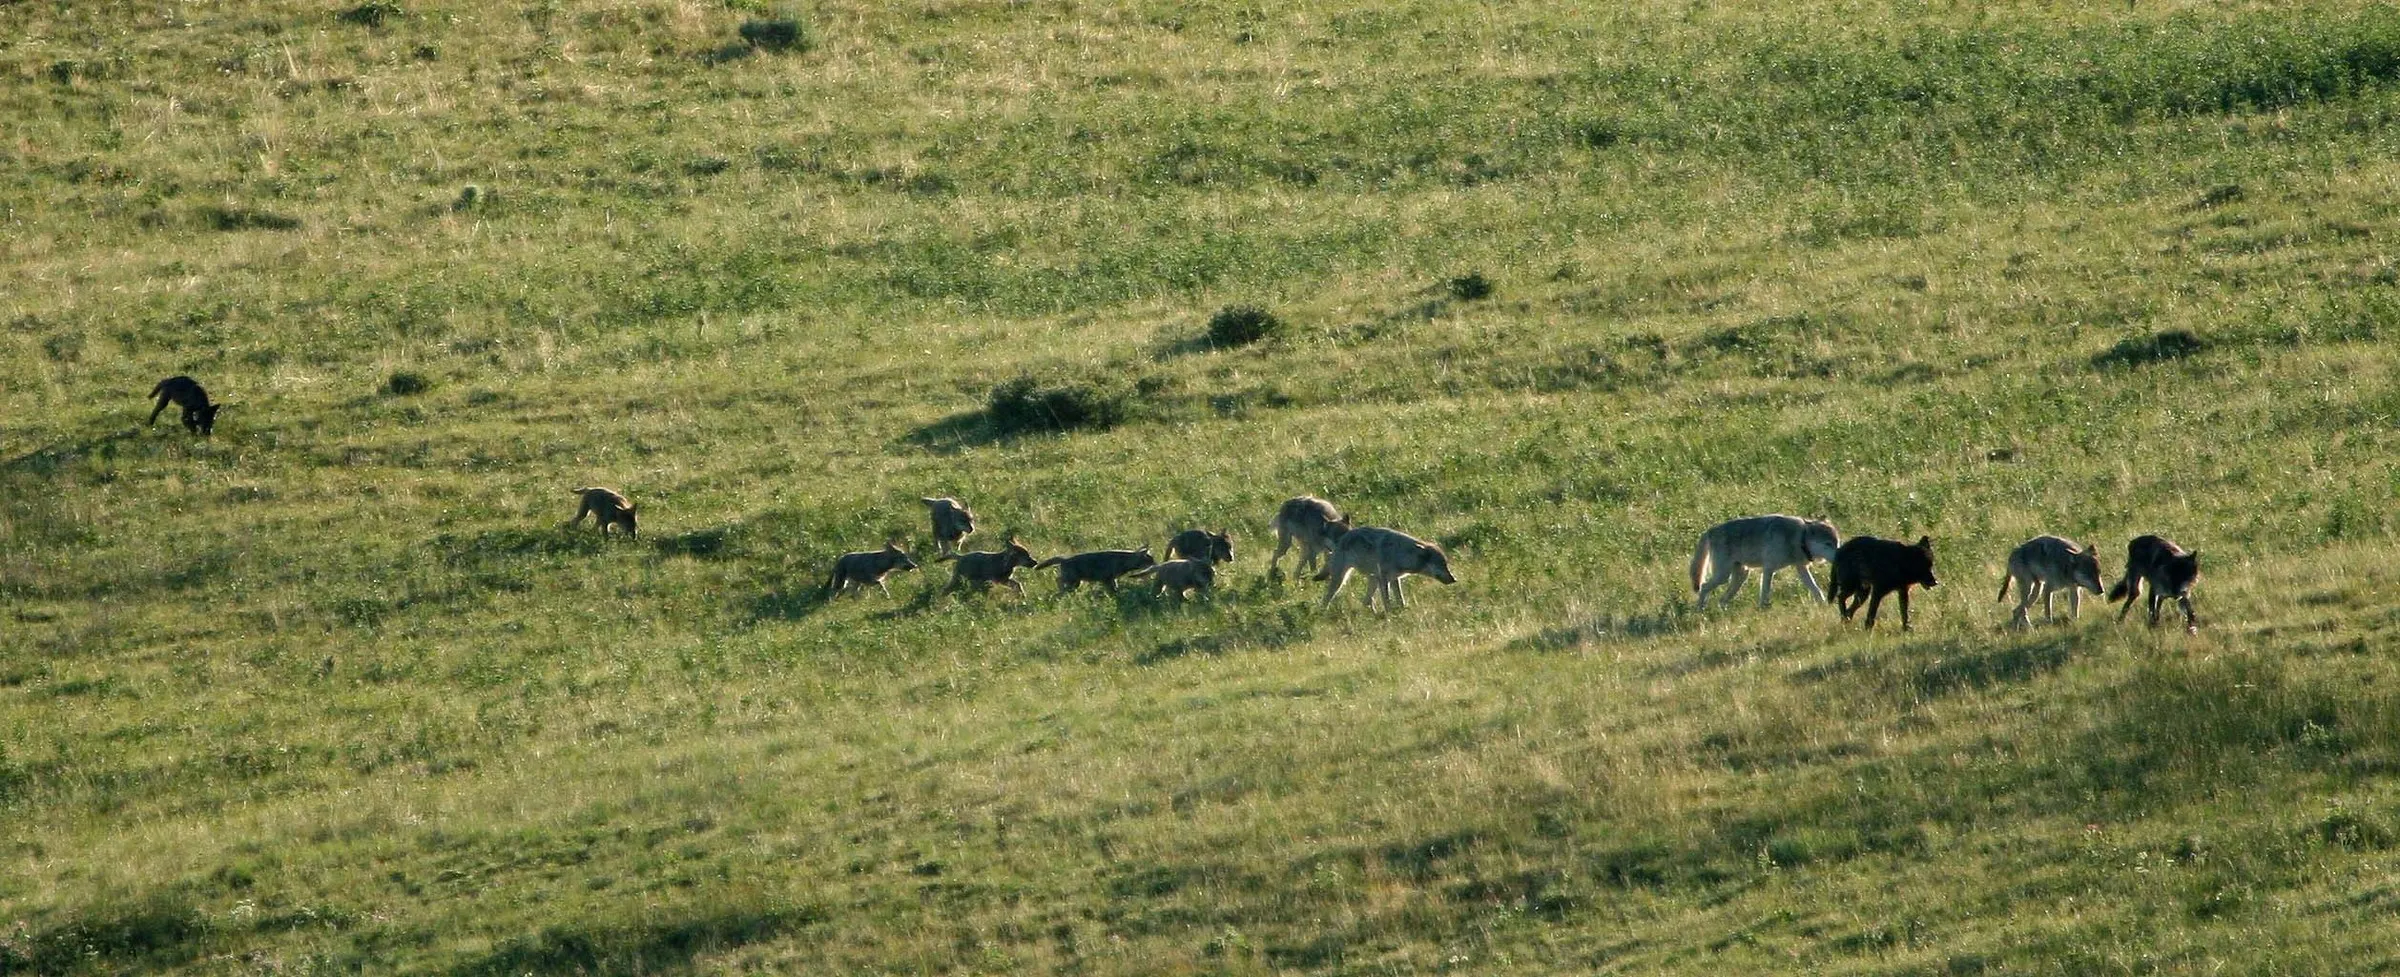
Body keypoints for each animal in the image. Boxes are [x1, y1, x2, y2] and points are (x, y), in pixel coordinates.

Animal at [1316, 526, 1456, 611]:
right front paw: (1391, 615)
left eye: (1446, 564)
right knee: (1326, 599)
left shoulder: (1394, 579)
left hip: (1372, 579)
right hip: (1341, 580)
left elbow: (1400, 599)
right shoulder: (1383, 579)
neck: (1400, 553)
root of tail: (1341, 539)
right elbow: (1387, 602)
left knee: (1366, 601)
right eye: (1441, 565)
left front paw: (1403, 610)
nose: (1454, 579)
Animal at [1689, 515, 1840, 609]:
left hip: (1741, 577)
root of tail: (1710, 531)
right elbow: (1765, 593)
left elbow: (1816, 590)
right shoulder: (1769, 568)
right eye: (1828, 544)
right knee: (1704, 587)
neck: (1798, 538)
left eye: (1837, 543)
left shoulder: (1801, 568)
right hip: (1723, 576)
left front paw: (1824, 605)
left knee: (1721, 599)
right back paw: (1700, 610)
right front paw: (1763, 610)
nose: (1841, 556)